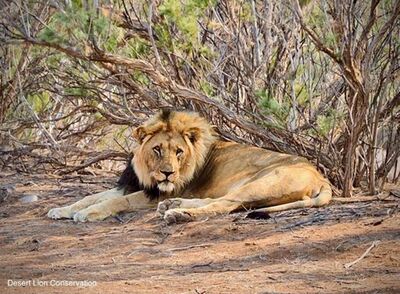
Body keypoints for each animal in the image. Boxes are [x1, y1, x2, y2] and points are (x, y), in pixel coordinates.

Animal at [47, 109, 332, 224]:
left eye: (179, 152)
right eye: (157, 149)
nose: (168, 173)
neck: (148, 172)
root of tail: (322, 177)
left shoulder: (157, 191)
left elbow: (115, 202)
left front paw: (88, 214)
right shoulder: (129, 185)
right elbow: (90, 196)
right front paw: (61, 209)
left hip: (262, 182)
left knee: (224, 205)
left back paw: (177, 213)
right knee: (222, 201)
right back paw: (174, 207)